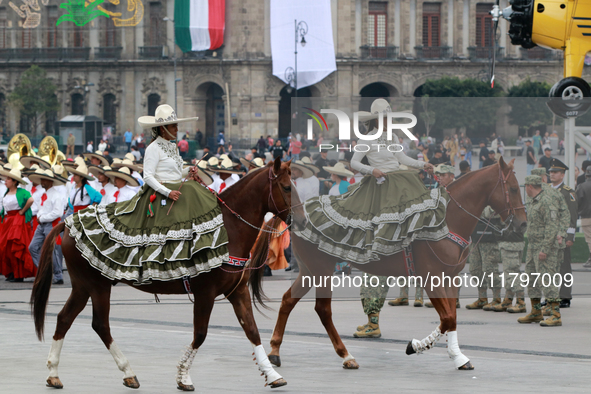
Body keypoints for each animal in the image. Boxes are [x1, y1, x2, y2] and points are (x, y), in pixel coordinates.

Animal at [30, 158, 294, 390]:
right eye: (287, 187)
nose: (295, 219)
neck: (230, 228)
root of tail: (66, 223)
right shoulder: (205, 293)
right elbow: (200, 334)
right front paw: (184, 377)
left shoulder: (237, 291)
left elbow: (252, 331)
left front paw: (273, 375)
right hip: (97, 286)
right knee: (100, 325)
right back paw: (128, 372)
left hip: (82, 286)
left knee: (64, 318)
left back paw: (54, 374)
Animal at [264, 156, 528, 370]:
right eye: (514, 188)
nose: (523, 223)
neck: (448, 219)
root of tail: (295, 211)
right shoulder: (431, 278)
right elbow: (447, 319)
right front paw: (417, 346)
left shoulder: (451, 278)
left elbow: (452, 319)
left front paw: (457, 356)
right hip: (321, 270)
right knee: (322, 309)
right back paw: (345, 355)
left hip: (309, 271)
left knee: (287, 300)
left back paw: (275, 351)